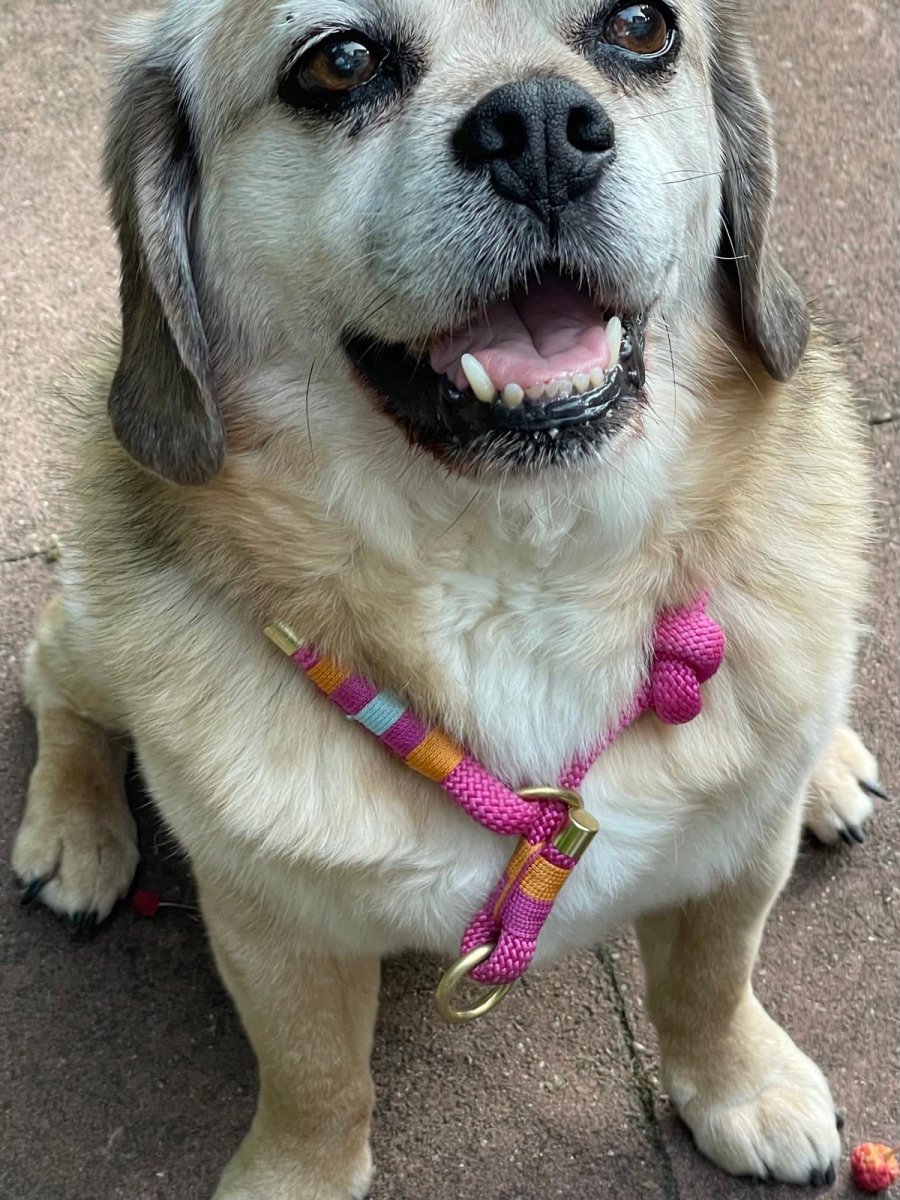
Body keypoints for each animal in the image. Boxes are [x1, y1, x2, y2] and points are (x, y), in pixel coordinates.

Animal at [8, 0, 883, 1195]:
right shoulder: (274, 927)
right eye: (339, 62)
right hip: (96, 641)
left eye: (641, 28)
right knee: (51, 671)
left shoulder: (735, 865)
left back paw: (827, 768)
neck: (525, 567)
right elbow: (317, 1082)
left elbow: (710, 987)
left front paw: (742, 1090)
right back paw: (72, 830)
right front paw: (296, 1177)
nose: (543, 129)